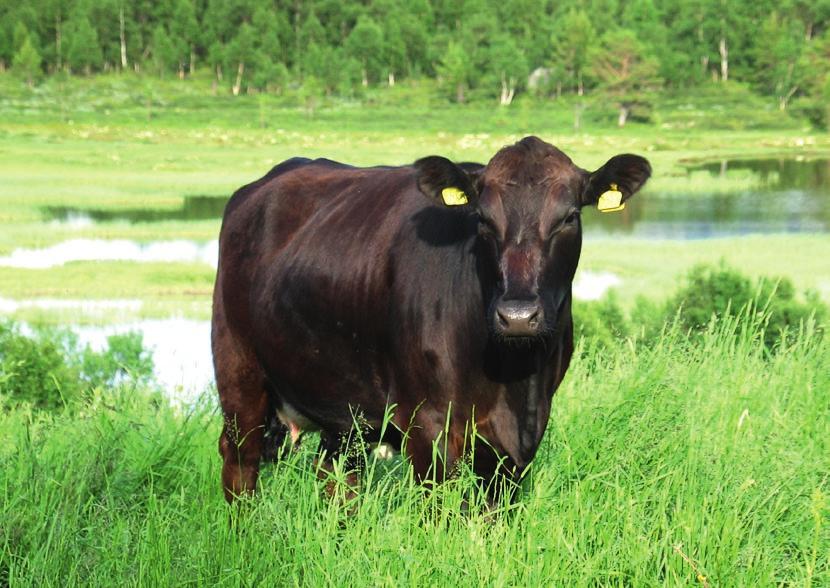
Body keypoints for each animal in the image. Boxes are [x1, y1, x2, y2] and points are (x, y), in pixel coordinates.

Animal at [210, 137, 648, 500]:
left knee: (337, 475)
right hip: (238, 372)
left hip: (342, 402)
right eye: (482, 219)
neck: (511, 376)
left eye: (569, 217)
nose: (518, 316)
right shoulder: (428, 427)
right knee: (240, 463)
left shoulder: (520, 437)